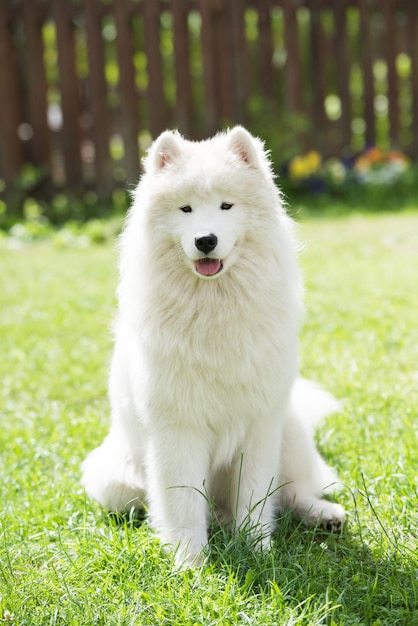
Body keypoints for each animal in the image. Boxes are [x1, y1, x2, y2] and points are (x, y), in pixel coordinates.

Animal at [81, 124, 342, 564]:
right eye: (185, 209)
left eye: (226, 206)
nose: (206, 240)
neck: (214, 307)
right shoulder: (179, 427)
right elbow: (185, 502)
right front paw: (190, 563)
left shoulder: (259, 423)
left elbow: (256, 496)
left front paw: (258, 551)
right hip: (115, 482)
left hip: (289, 432)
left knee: (293, 492)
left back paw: (323, 515)